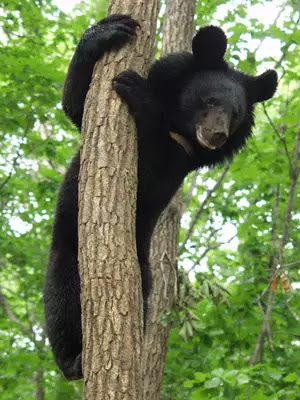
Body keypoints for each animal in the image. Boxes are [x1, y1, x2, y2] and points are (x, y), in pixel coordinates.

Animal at [43, 14, 278, 380]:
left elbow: (156, 154)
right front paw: (109, 30)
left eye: (236, 114)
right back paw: (73, 360)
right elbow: (77, 107)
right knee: (61, 299)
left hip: (141, 270)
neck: (179, 123)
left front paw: (133, 87)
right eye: (210, 101)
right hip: (67, 252)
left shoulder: (181, 157)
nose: (217, 136)